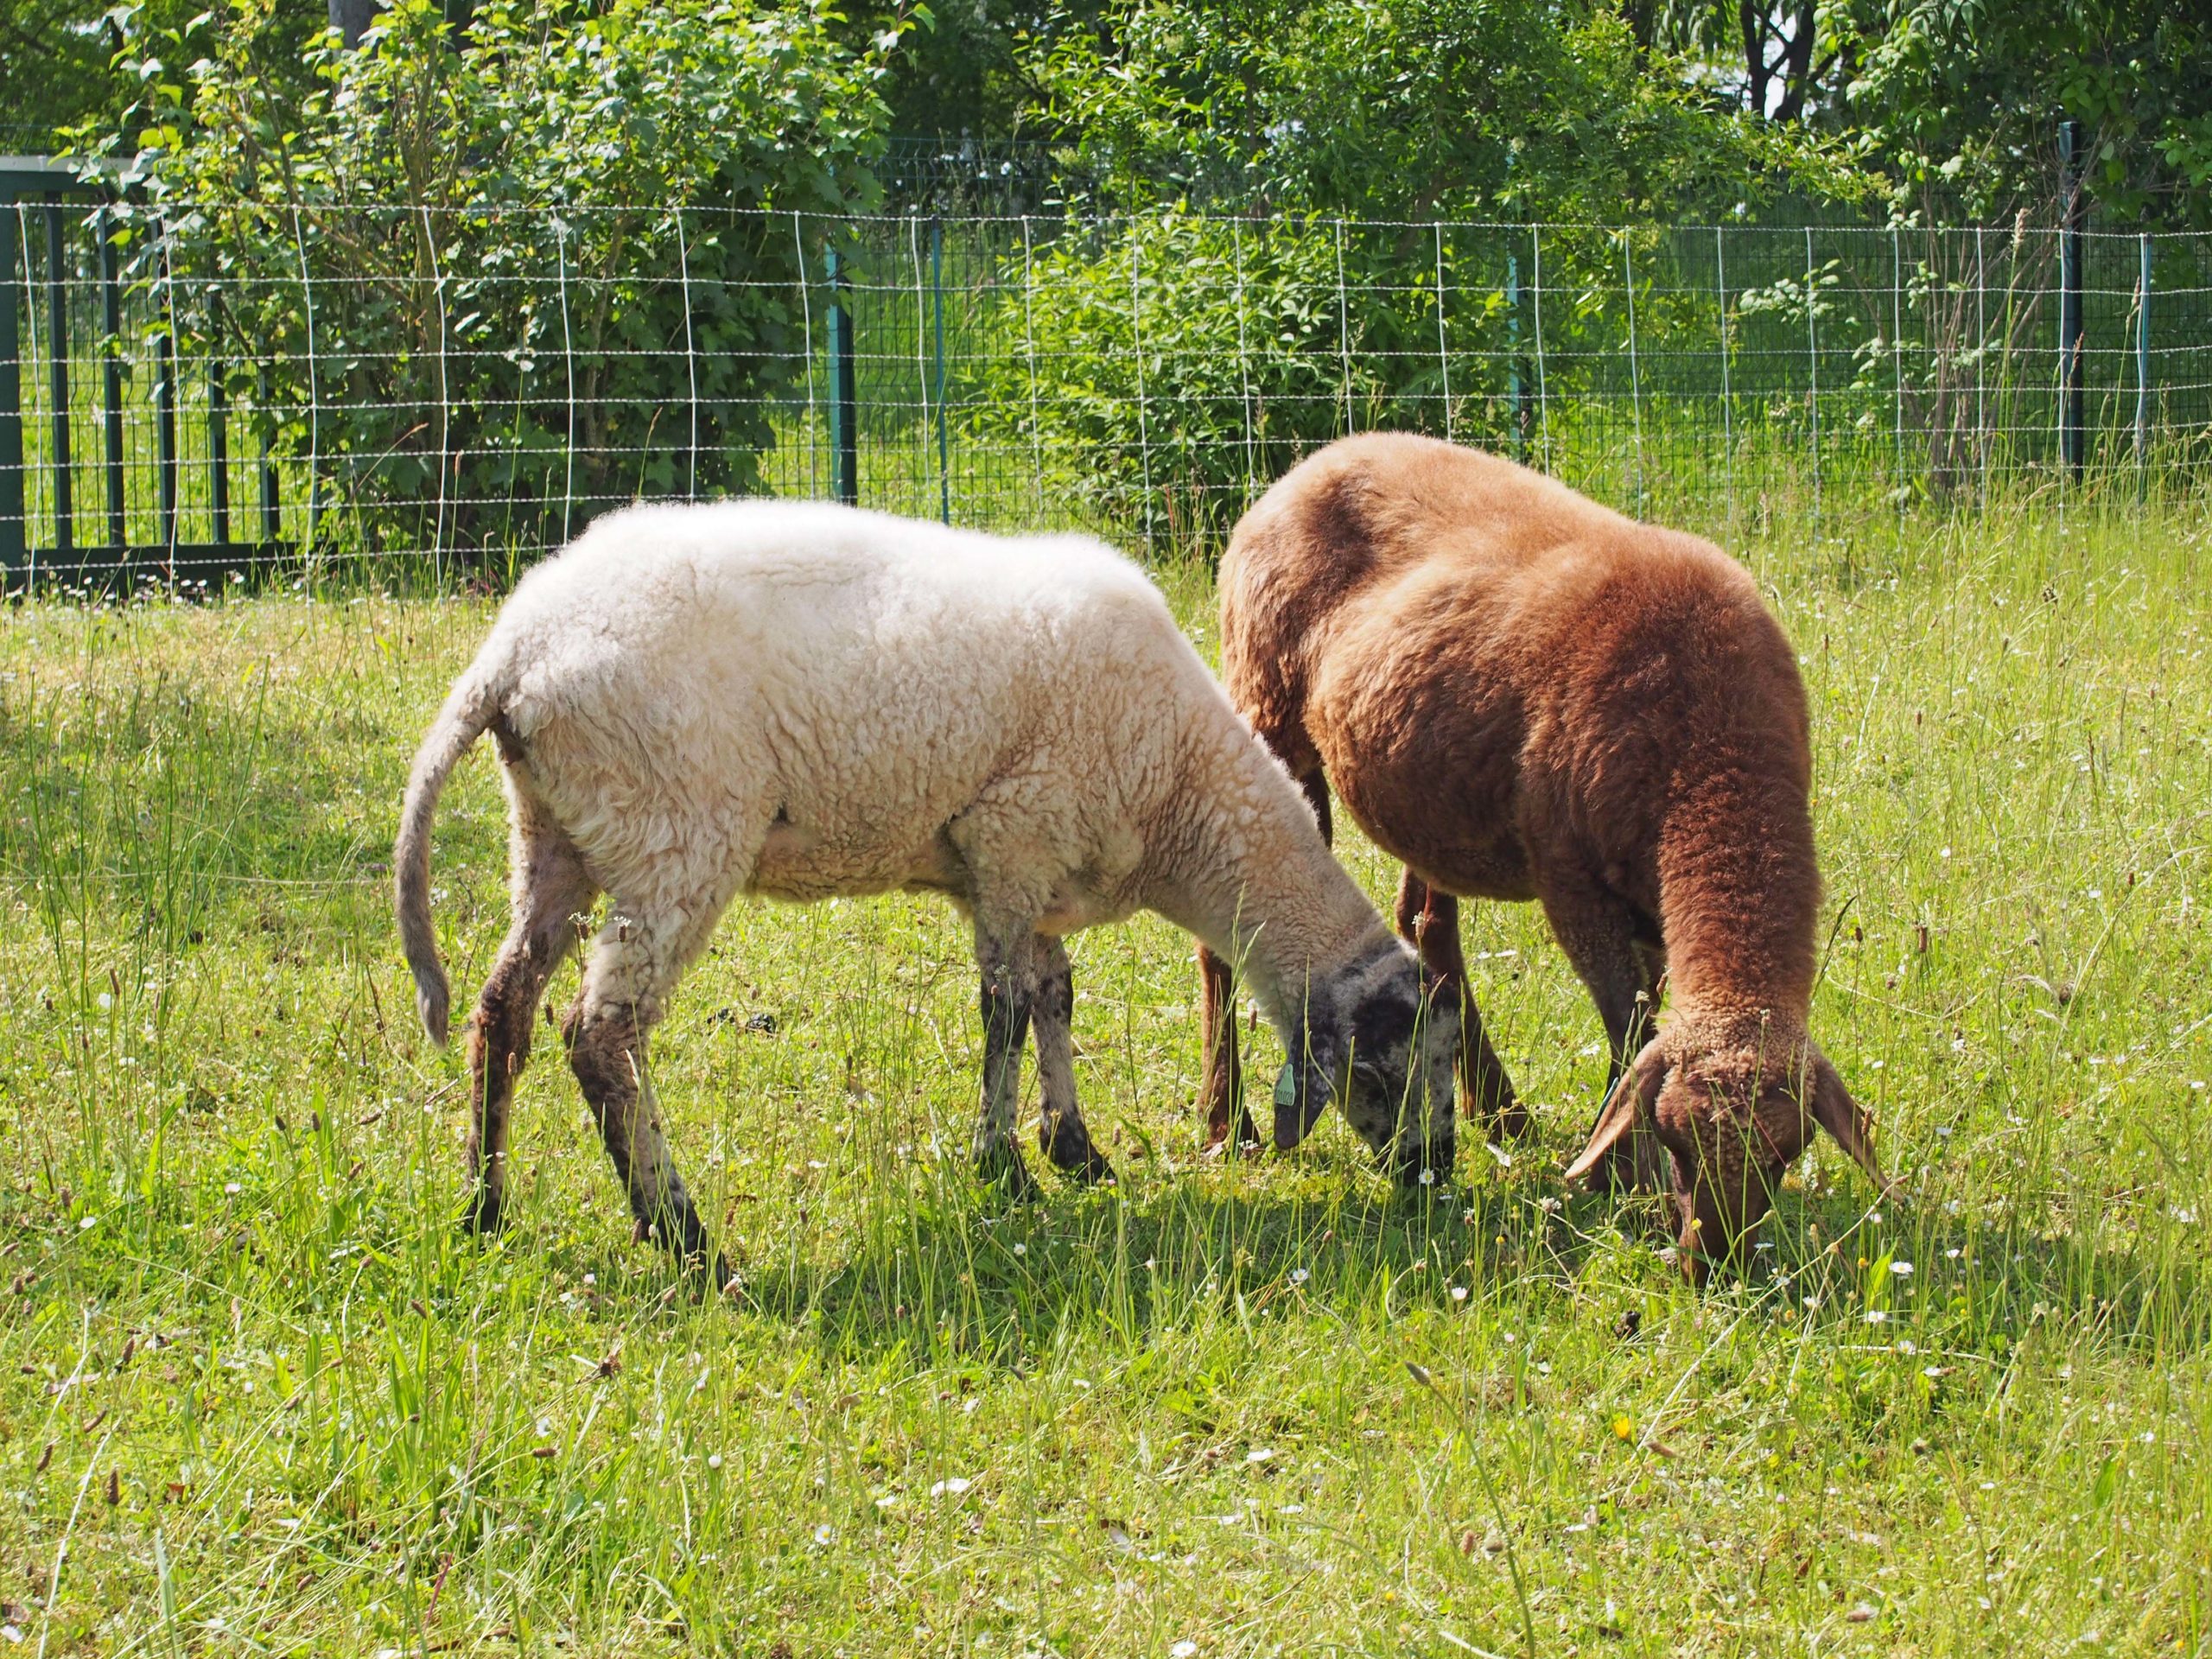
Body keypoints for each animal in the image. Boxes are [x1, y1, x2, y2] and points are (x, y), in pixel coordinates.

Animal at [393, 499, 1468, 1282]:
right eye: (1386, 1069)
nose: (1435, 1178)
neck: (1186, 797)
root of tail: (514, 653)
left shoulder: (1018, 867)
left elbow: (1053, 996)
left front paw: (1074, 1150)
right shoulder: (1014, 835)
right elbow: (1003, 1010)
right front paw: (1006, 1171)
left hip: (554, 833)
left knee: (503, 1009)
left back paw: (485, 1208)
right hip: (673, 833)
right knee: (599, 1035)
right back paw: (685, 1237)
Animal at [1203, 435, 1893, 1282]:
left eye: (1786, 1153)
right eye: (1678, 1138)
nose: (1713, 1265)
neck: (1713, 755)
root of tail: (1310, 463)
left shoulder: (1649, 899)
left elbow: (1642, 1024)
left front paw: (1611, 1165)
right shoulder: (1573, 880)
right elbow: (1629, 1027)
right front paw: (1628, 1180)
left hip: (1425, 789)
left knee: (1428, 928)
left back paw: (1503, 1114)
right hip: (1266, 705)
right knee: (1230, 932)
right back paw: (1225, 1124)